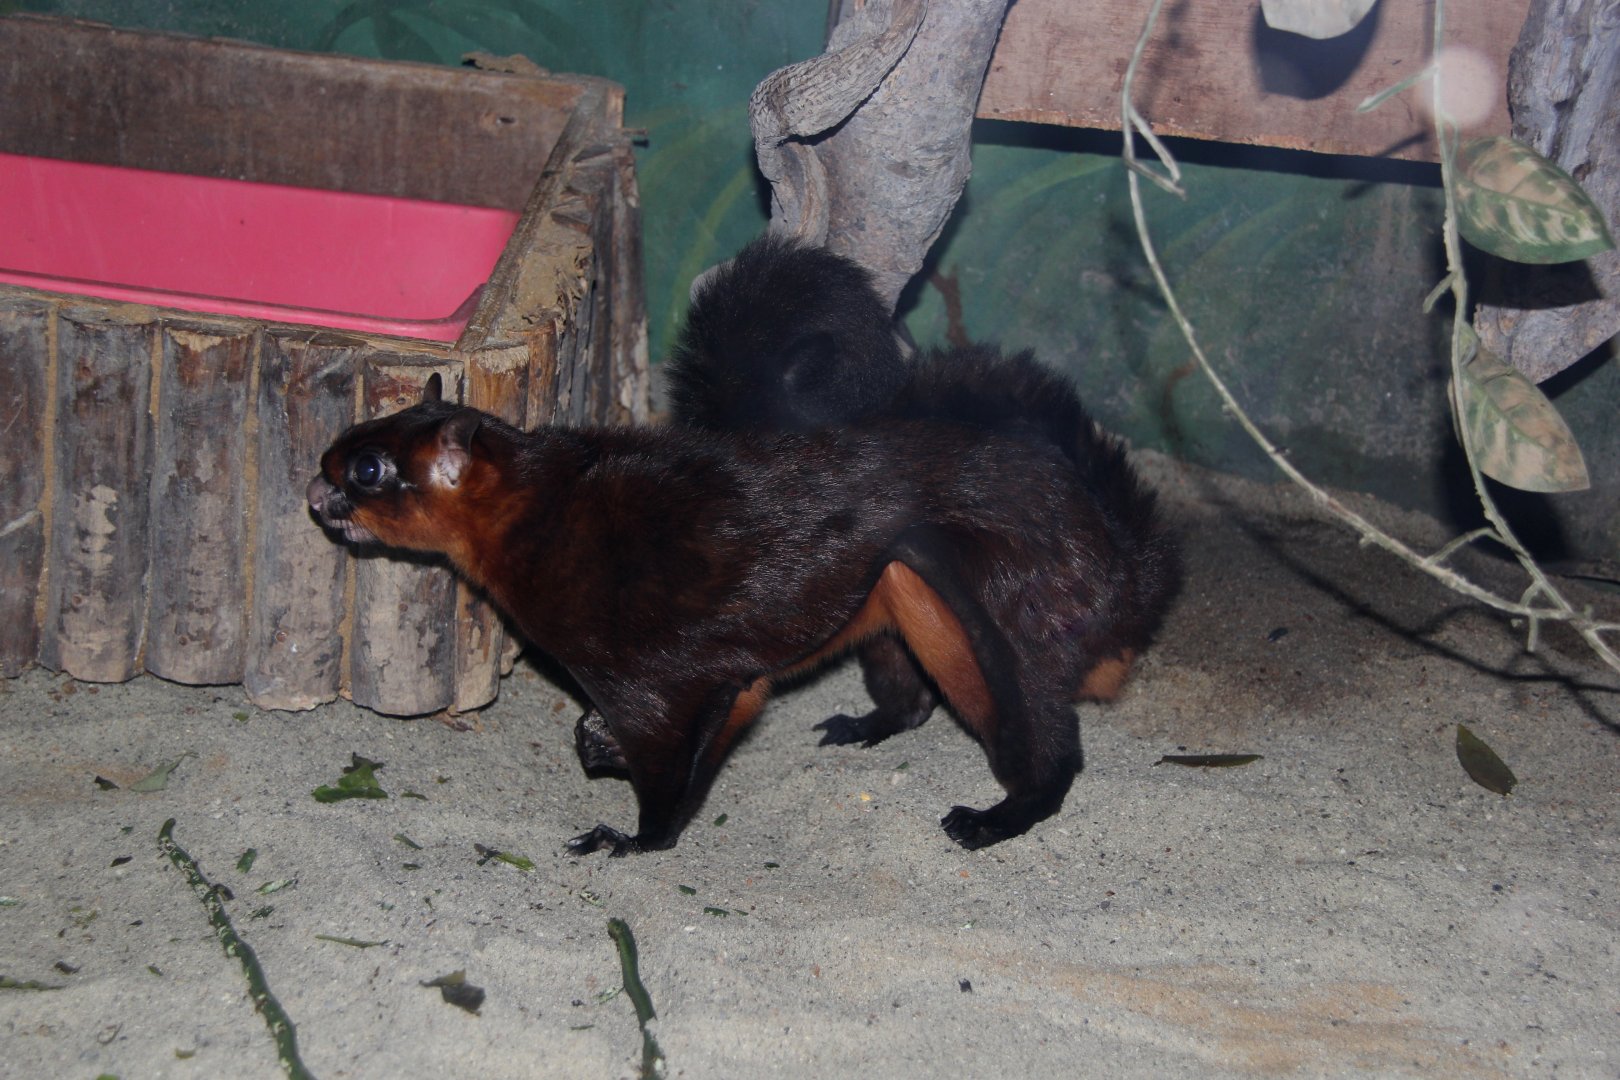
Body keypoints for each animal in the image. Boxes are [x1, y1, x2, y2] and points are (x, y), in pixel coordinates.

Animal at [308, 238, 1177, 855]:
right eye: (355, 435)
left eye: (369, 469)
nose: (315, 495)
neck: (542, 507)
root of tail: (1127, 573)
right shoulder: (735, 680)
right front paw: (601, 758)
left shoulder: (664, 684)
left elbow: (666, 786)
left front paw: (628, 839)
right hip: (903, 595)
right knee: (917, 704)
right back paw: (860, 728)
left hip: (992, 627)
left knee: (1052, 755)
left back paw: (993, 820)